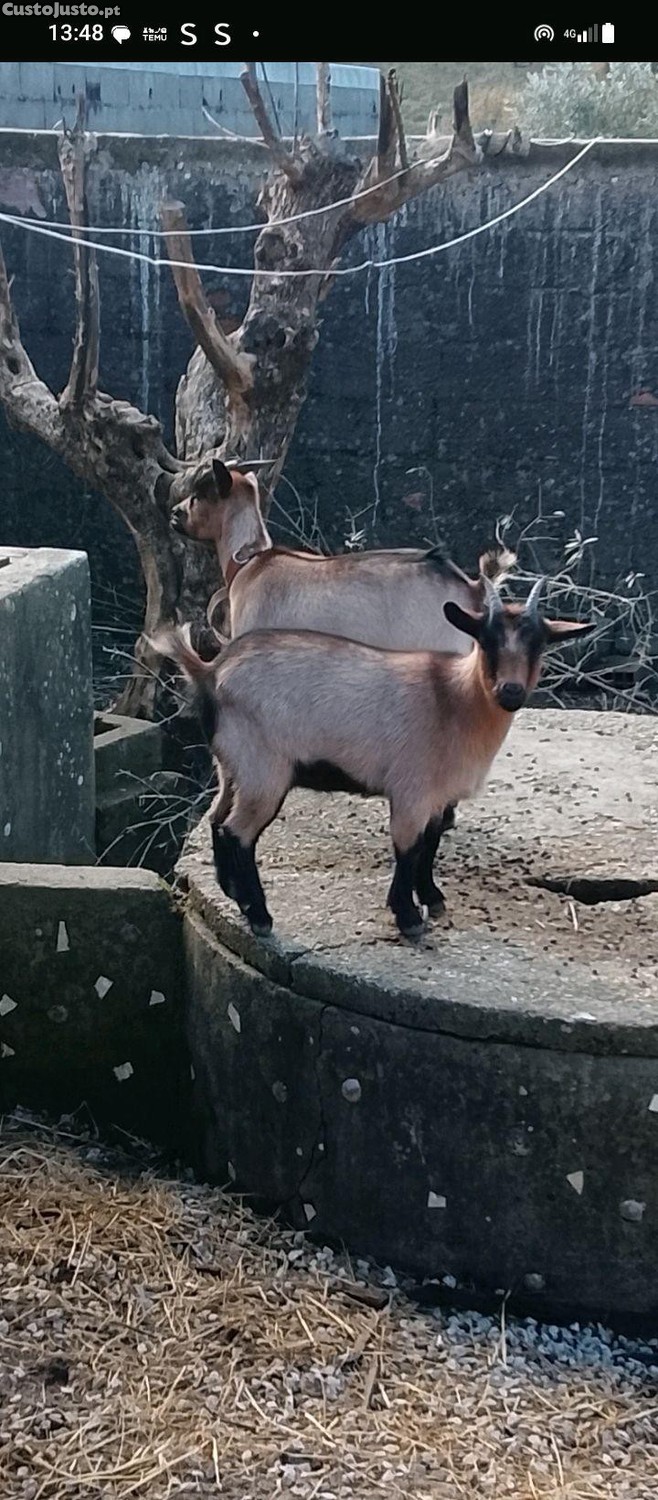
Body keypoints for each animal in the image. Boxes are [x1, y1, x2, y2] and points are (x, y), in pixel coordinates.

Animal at [159, 578, 594, 939]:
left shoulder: (438, 797)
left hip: (233, 767)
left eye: (540, 644)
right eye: (485, 640)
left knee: (218, 818)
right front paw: (409, 918)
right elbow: (408, 848)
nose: (510, 692)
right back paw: (259, 916)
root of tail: (211, 671)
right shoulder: (412, 791)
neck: (454, 700)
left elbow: (430, 843)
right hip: (264, 770)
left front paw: (432, 898)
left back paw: (231, 889)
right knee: (239, 831)